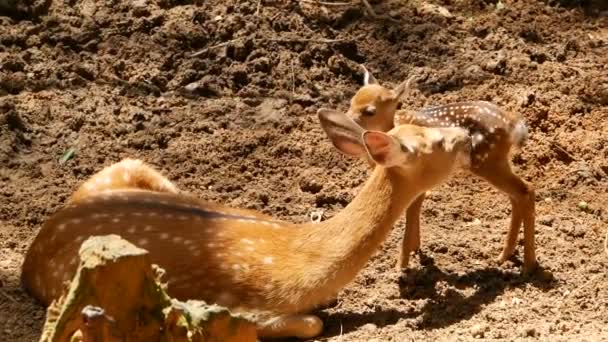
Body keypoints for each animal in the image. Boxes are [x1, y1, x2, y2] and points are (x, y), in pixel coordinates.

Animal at [21, 108, 470, 338]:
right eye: (439, 142)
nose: (466, 135)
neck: (308, 260)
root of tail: (29, 259)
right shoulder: (246, 308)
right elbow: (311, 322)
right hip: (72, 286)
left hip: (126, 169)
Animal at [346, 65, 536, 272]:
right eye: (351, 102)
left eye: (370, 111)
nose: (345, 120)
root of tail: (513, 123)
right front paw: (416, 250)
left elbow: (411, 215)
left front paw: (401, 267)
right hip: (496, 162)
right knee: (516, 196)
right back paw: (504, 257)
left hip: (488, 161)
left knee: (526, 191)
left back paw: (528, 266)